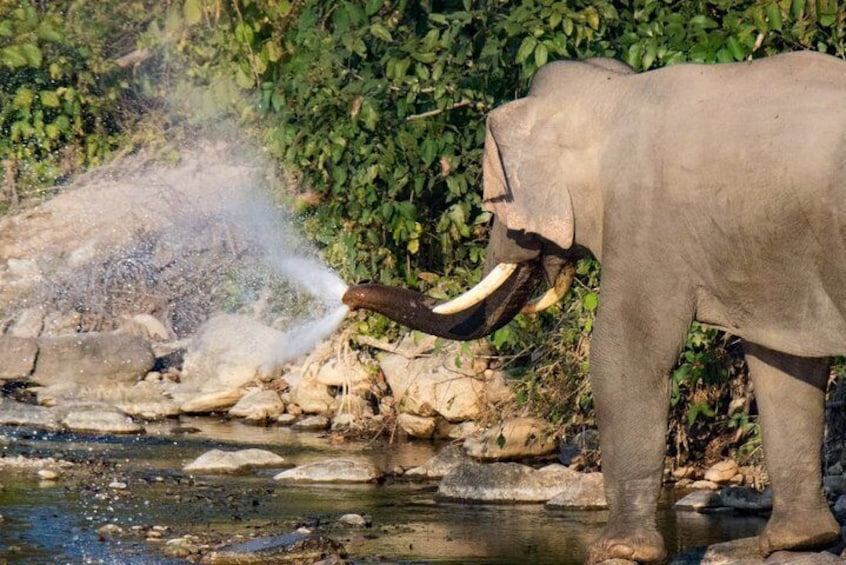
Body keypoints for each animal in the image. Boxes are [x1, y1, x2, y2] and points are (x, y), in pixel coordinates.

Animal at [342, 50, 846, 560]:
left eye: (499, 203)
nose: (347, 295)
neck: (615, 93)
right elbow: (781, 362)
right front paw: (795, 541)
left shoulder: (644, 220)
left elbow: (626, 355)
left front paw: (616, 551)